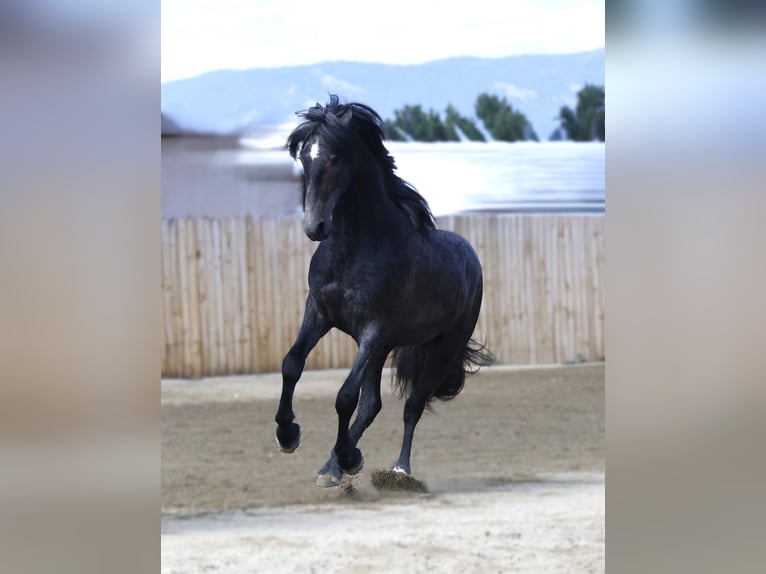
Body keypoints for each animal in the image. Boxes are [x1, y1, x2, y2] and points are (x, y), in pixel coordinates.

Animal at [275, 94, 492, 488]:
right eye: (305, 158)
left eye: (335, 157)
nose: (315, 226)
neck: (355, 248)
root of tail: (471, 257)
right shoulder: (319, 312)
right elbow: (292, 365)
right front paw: (288, 436)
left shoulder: (373, 331)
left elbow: (345, 396)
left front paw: (349, 458)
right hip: (384, 349)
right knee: (372, 404)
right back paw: (333, 466)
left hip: (438, 348)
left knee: (412, 404)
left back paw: (397, 469)